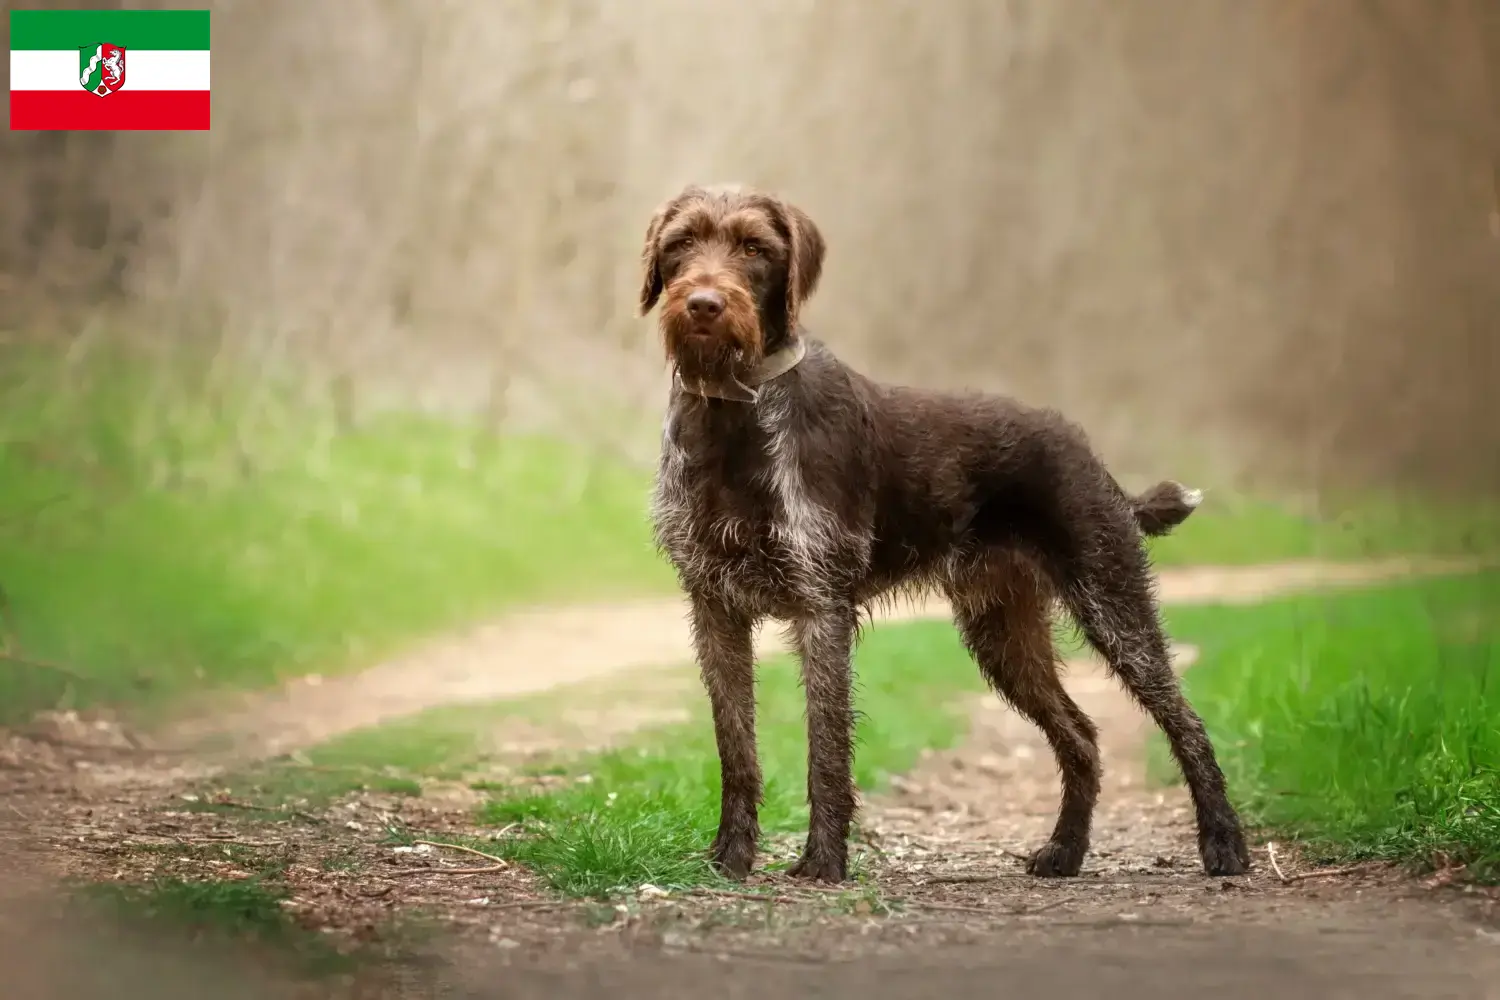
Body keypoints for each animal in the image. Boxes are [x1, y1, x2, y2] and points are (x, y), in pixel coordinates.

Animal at [639, 182, 1248, 881]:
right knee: (1081, 736)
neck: (732, 414)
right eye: (682, 242)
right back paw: (1065, 850)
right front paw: (730, 858)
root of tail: (1089, 454)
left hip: (1111, 600)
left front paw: (824, 862)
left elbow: (826, 748)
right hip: (1002, 632)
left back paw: (1224, 843)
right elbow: (735, 747)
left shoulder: (821, 605)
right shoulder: (714, 607)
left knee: (1184, 721)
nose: (704, 304)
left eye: (754, 248)